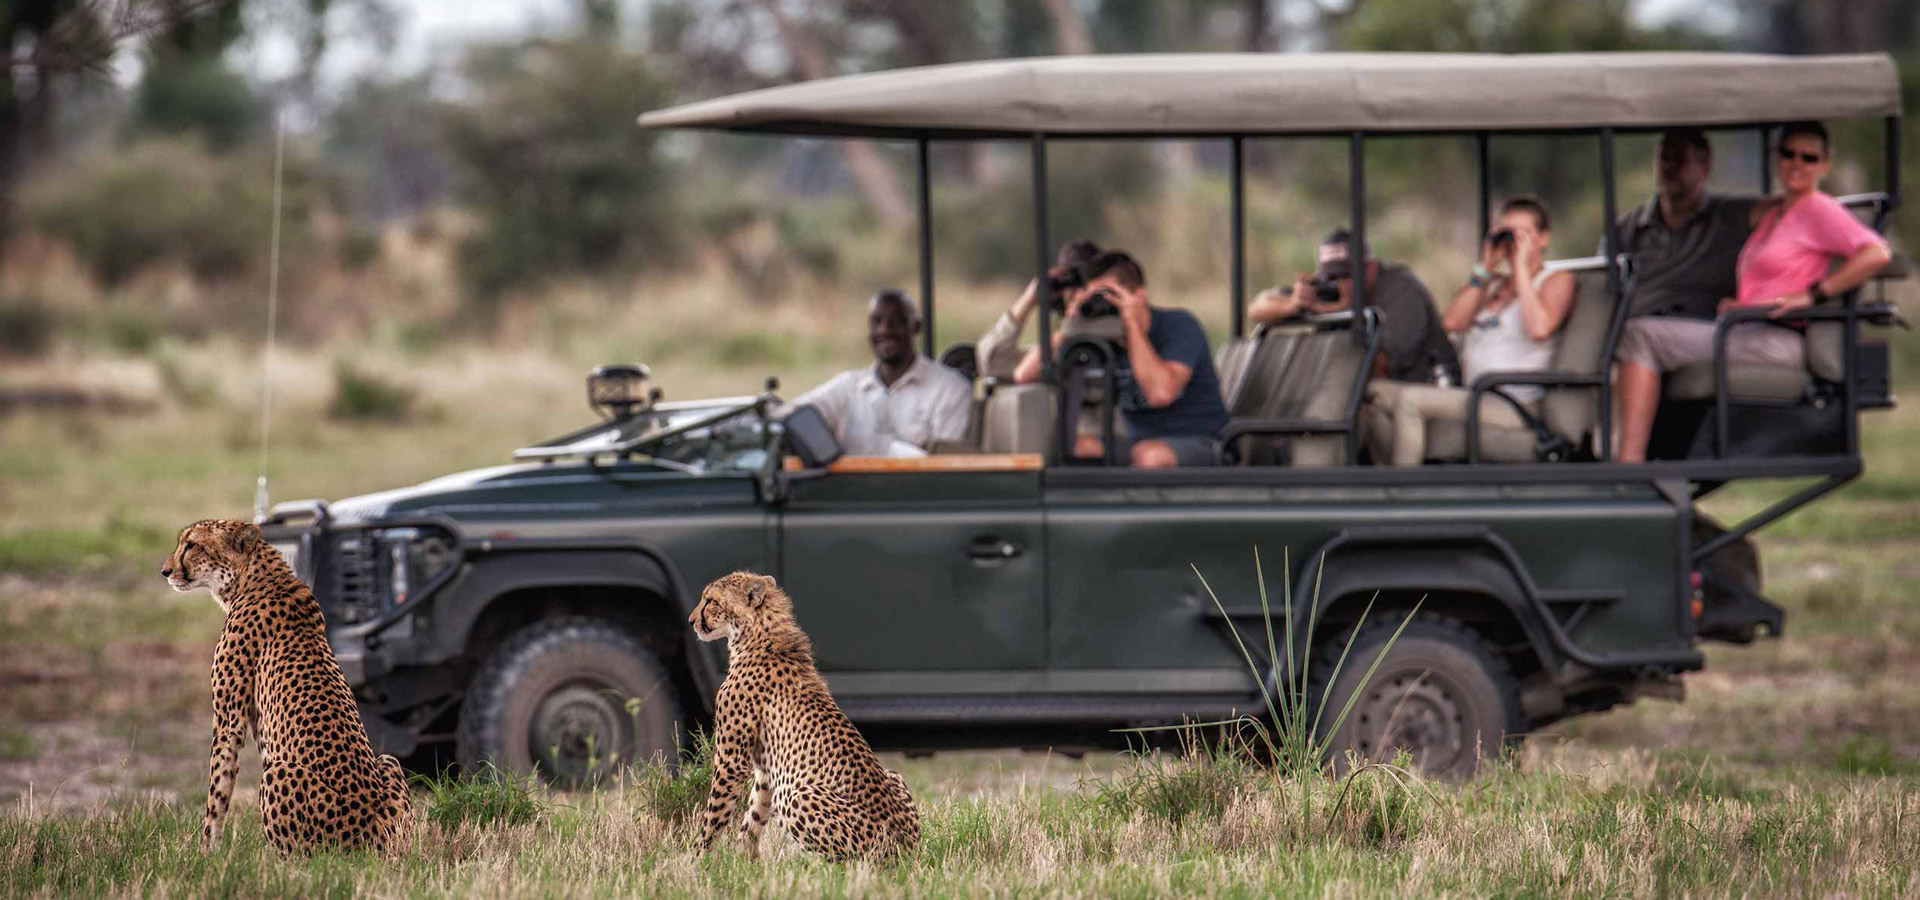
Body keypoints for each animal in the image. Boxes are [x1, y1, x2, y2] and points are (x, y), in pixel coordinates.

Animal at [162, 514, 412, 852]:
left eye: (192, 545)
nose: (165, 570)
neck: (254, 577)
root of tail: (377, 830)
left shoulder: (228, 722)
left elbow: (218, 792)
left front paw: (207, 853)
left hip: (280, 773)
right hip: (388, 762)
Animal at [691, 571, 921, 859]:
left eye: (710, 600)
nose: (691, 621)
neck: (759, 636)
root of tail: (906, 847)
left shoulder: (732, 762)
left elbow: (714, 816)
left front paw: (695, 859)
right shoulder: (767, 771)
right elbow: (753, 816)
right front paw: (744, 862)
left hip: (798, 796)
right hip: (893, 775)